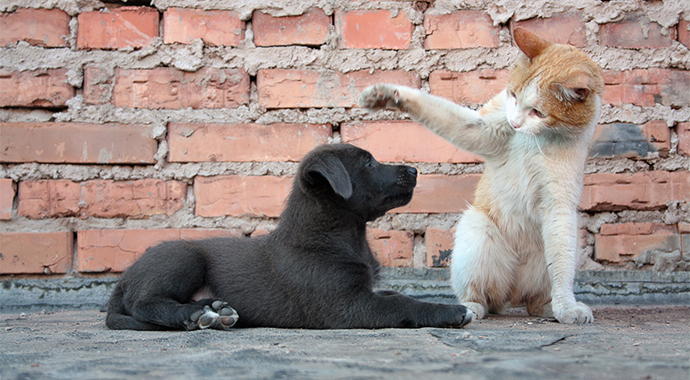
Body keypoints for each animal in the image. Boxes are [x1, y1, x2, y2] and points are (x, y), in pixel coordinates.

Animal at [105, 143, 472, 330]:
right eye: (368, 163)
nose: (414, 170)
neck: (340, 236)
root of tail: (123, 281)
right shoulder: (346, 306)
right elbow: (401, 304)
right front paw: (450, 311)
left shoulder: (365, 290)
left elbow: (394, 294)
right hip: (182, 257)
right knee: (144, 304)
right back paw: (194, 315)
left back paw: (216, 309)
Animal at [360, 27, 600, 324]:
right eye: (513, 95)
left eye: (538, 112)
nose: (515, 123)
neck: (536, 139)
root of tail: (512, 293)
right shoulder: (484, 129)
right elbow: (438, 110)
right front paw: (386, 95)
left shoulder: (560, 206)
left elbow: (562, 269)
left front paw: (567, 307)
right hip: (476, 229)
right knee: (482, 297)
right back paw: (469, 309)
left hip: (568, 238)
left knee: (536, 297)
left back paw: (548, 309)